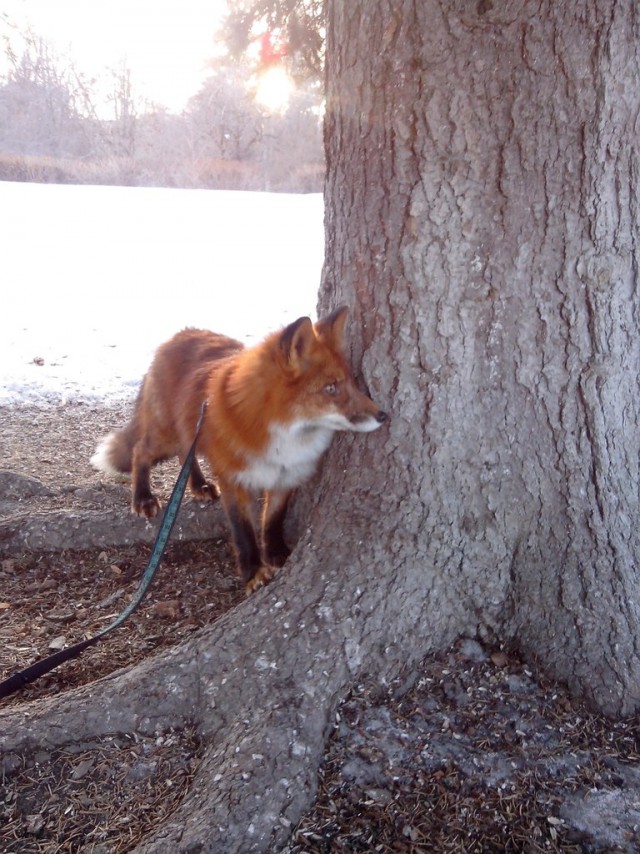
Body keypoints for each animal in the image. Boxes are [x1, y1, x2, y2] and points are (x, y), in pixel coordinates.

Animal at [90, 308, 388, 596]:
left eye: (352, 383)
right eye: (331, 388)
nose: (383, 416)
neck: (284, 436)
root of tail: (179, 335)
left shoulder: (287, 475)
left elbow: (272, 520)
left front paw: (277, 555)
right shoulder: (234, 479)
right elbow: (243, 530)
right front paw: (253, 572)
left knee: (186, 455)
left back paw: (199, 486)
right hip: (165, 436)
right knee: (141, 451)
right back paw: (143, 498)